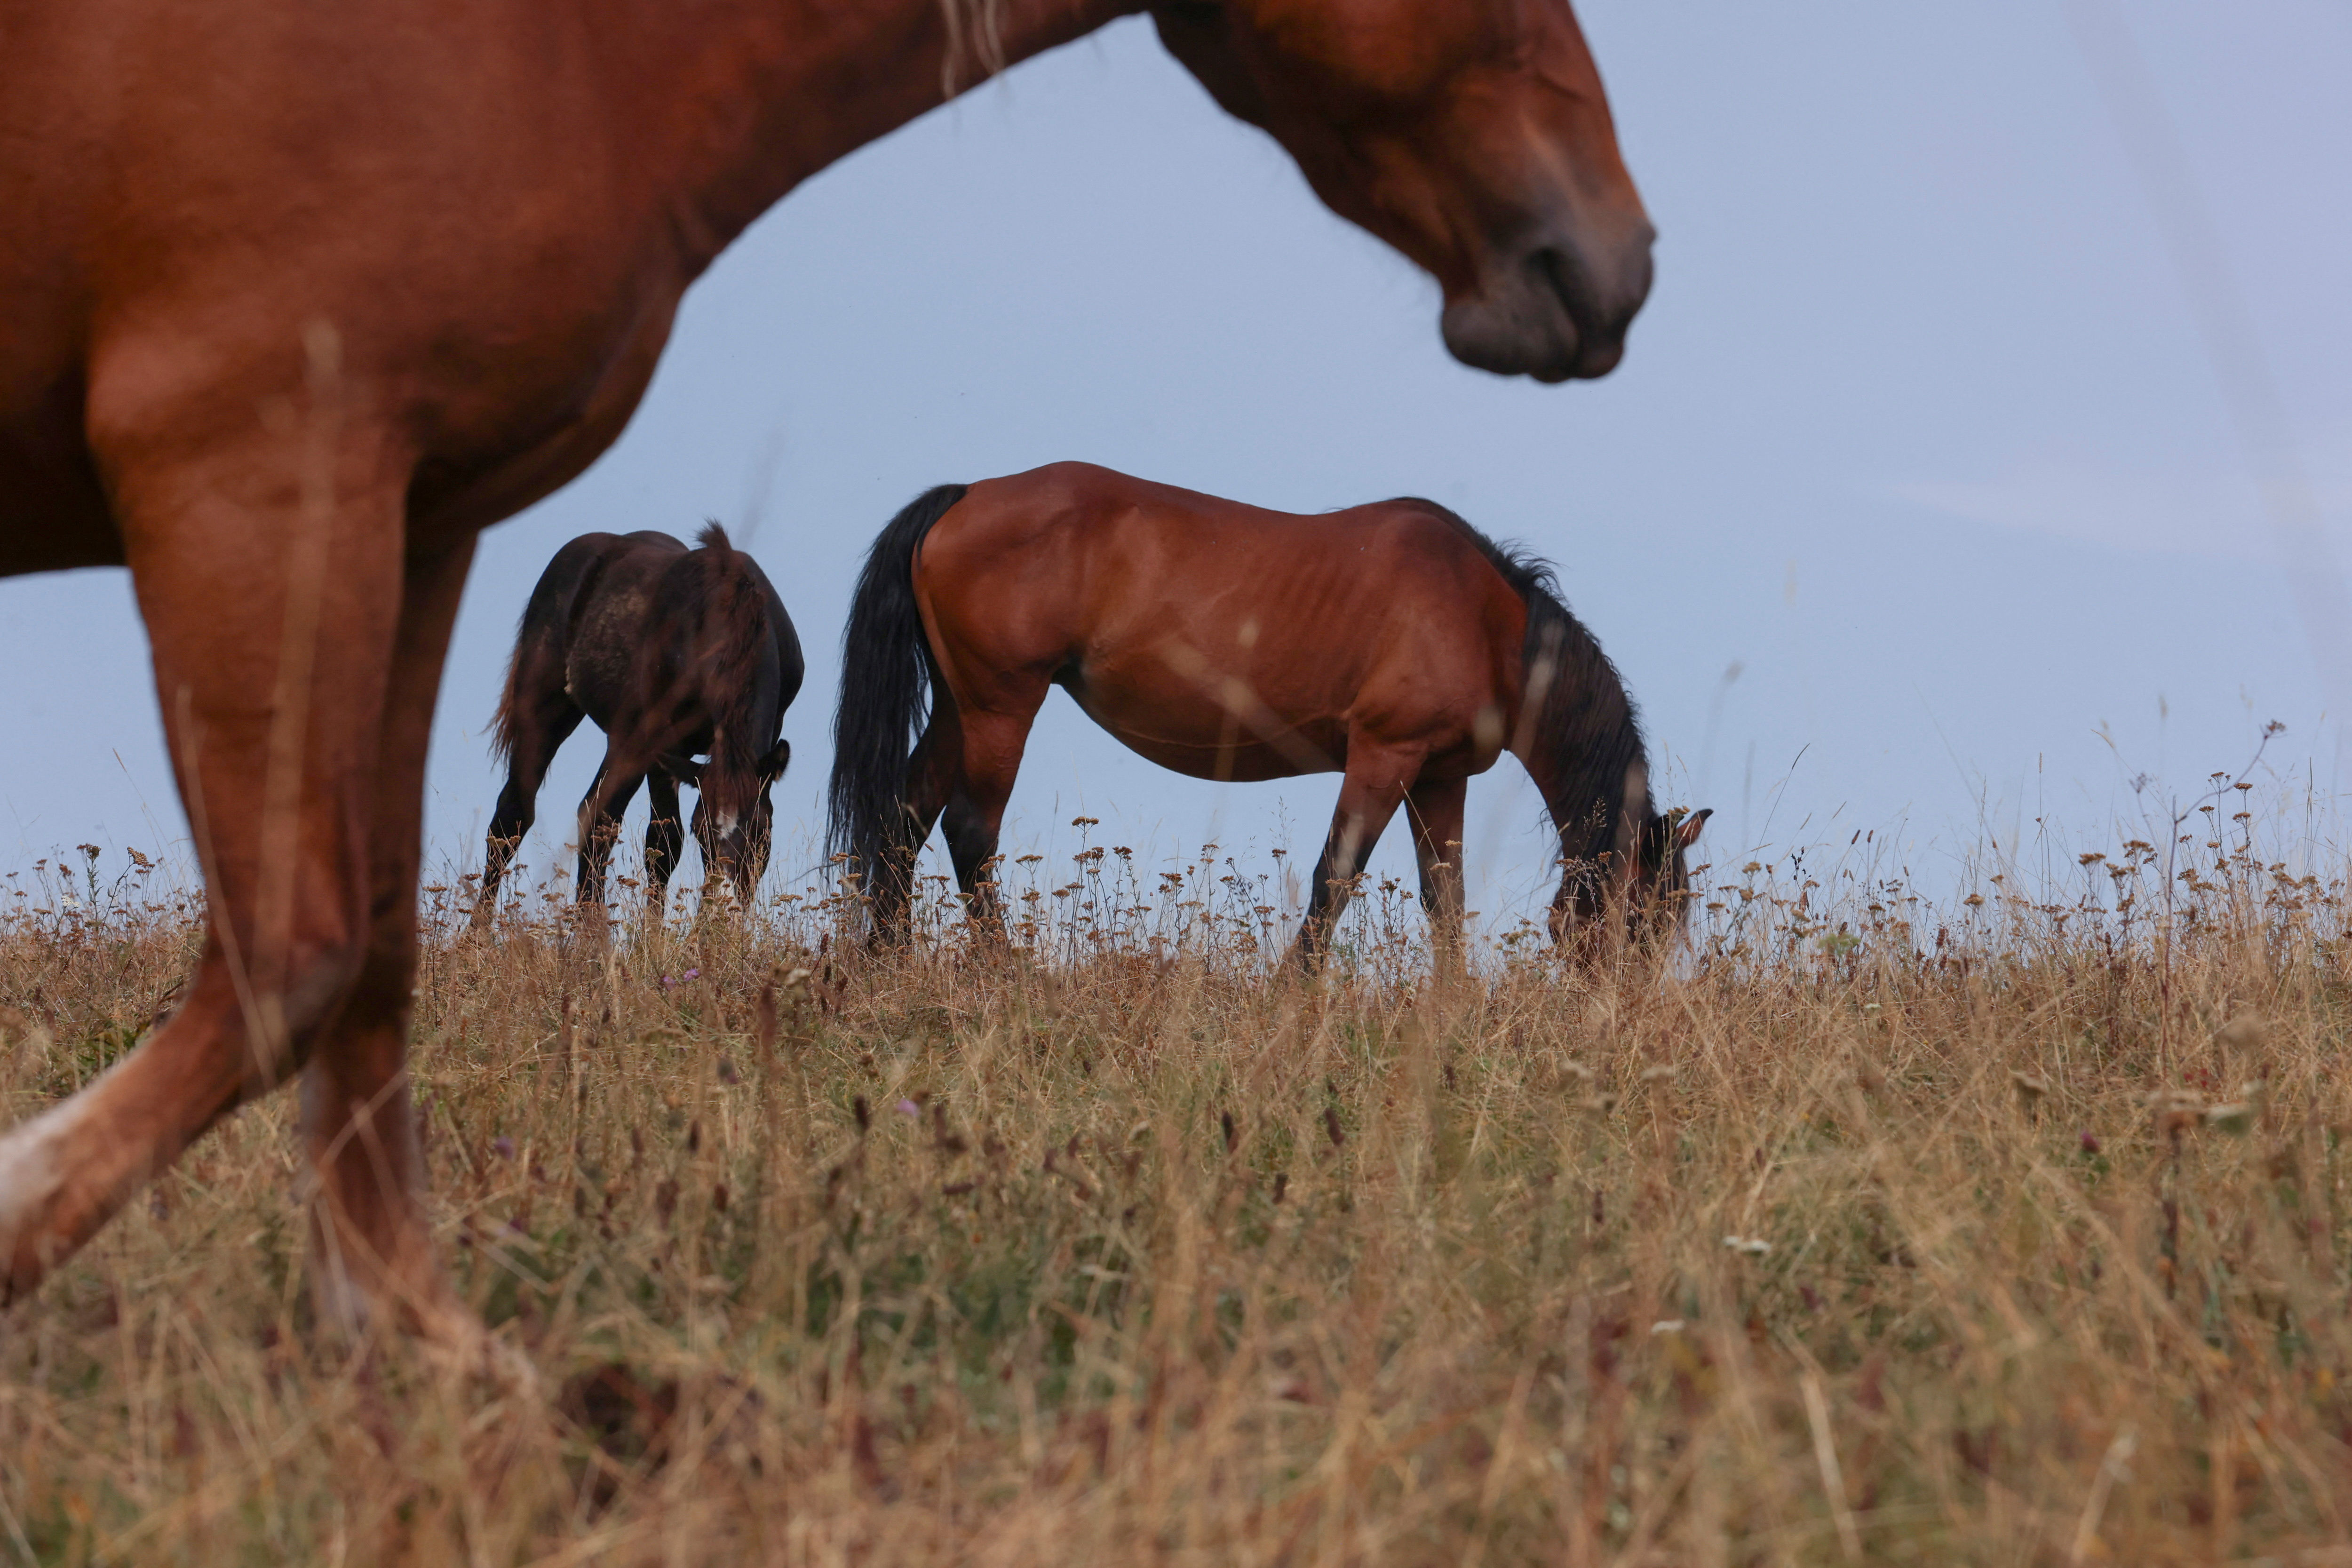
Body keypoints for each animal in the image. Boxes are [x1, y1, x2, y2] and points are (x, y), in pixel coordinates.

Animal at [473, 526, 804, 926]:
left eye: (760, 830)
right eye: (702, 832)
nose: (723, 915)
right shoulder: (664, 744)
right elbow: (664, 842)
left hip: (622, 741)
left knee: (593, 816)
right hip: (550, 714)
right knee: (516, 817)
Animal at [833, 461, 1712, 963]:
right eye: (1638, 921)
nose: (1620, 1026)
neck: (1483, 620)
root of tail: (965, 498)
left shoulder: (1438, 777)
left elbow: (1443, 900)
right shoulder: (1383, 757)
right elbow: (1335, 878)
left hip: (960, 707)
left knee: (905, 816)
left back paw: (887, 964)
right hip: (1001, 705)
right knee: (969, 831)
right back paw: (1002, 976)